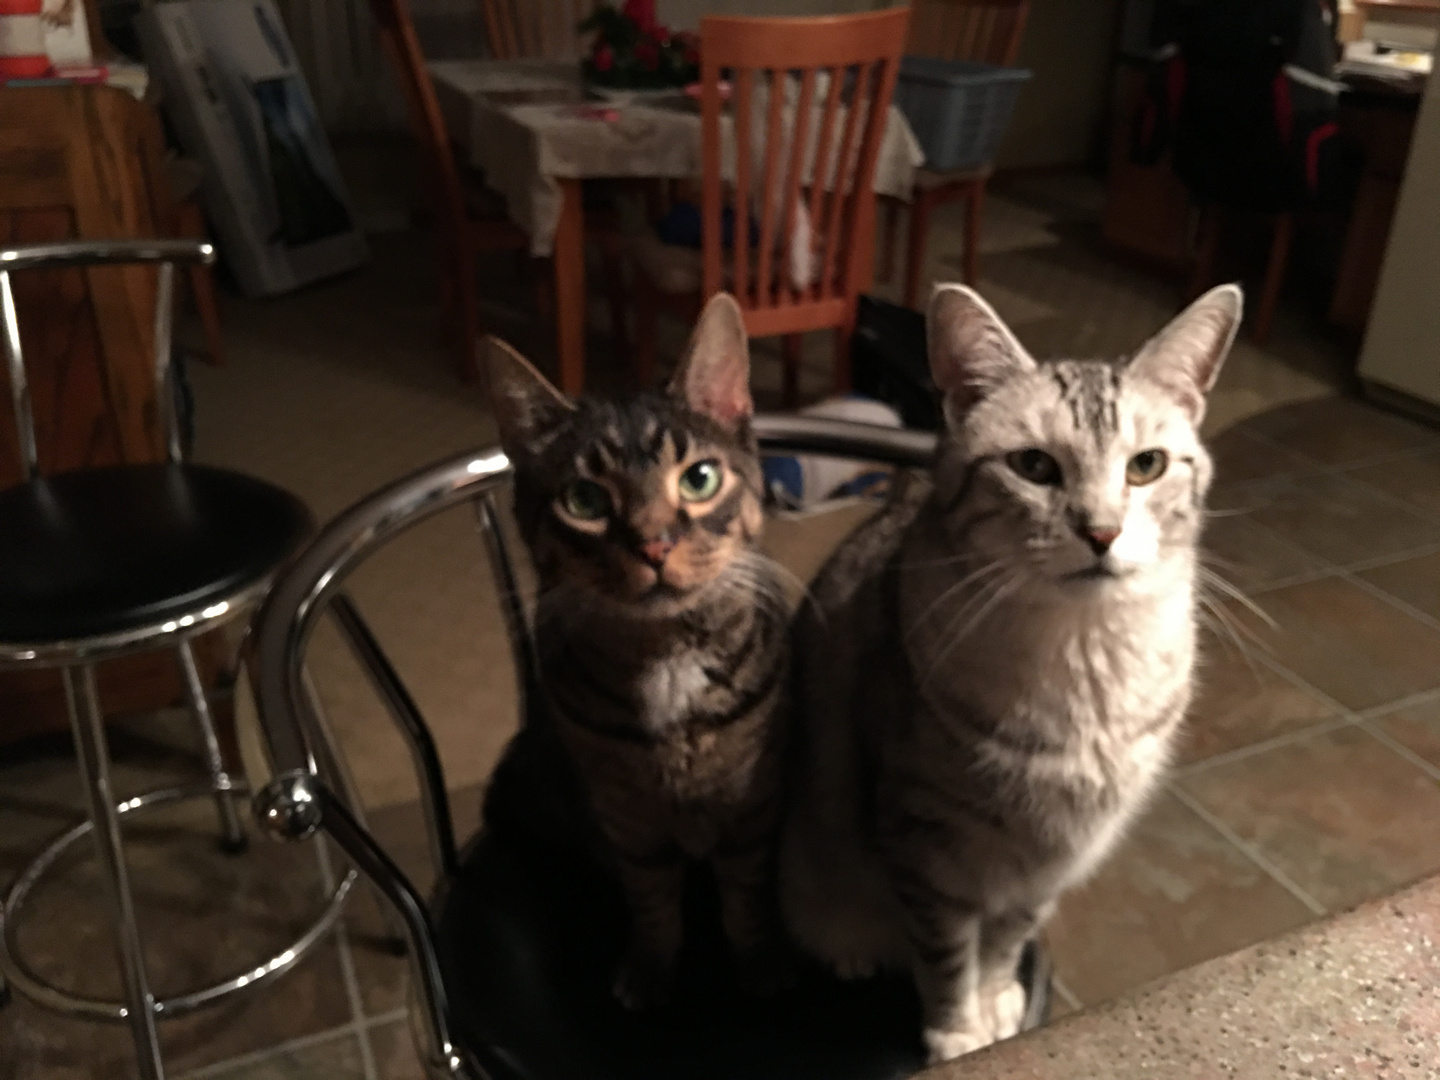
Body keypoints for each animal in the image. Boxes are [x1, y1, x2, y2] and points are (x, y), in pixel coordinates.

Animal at [483, 293, 791, 1010]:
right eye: (584, 500)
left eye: (699, 479)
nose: (653, 544)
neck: (666, 658)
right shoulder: (630, 824)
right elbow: (653, 907)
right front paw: (651, 970)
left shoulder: (751, 811)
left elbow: (746, 903)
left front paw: (760, 963)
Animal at [779, 282, 1243, 1061]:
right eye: (1034, 467)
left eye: (1146, 466)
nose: (1101, 531)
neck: (1084, 661)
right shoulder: (924, 846)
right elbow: (945, 955)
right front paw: (957, 1031)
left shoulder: (1045, 866)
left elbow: (1003, 941)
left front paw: (995, 1001)